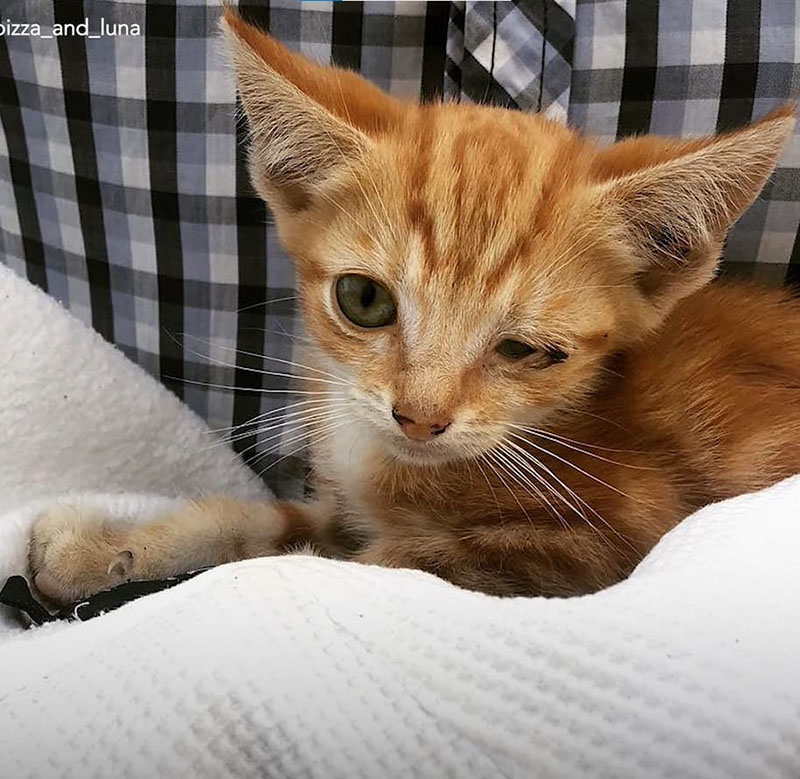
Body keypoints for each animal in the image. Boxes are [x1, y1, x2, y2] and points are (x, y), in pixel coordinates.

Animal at [28, 9, 800, 602]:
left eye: (526, 351)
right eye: (364, 299)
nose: (419, 418)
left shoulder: (593, 546)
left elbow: (339, 563)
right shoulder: (341, 506)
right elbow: (264, 524)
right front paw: (109, 546)